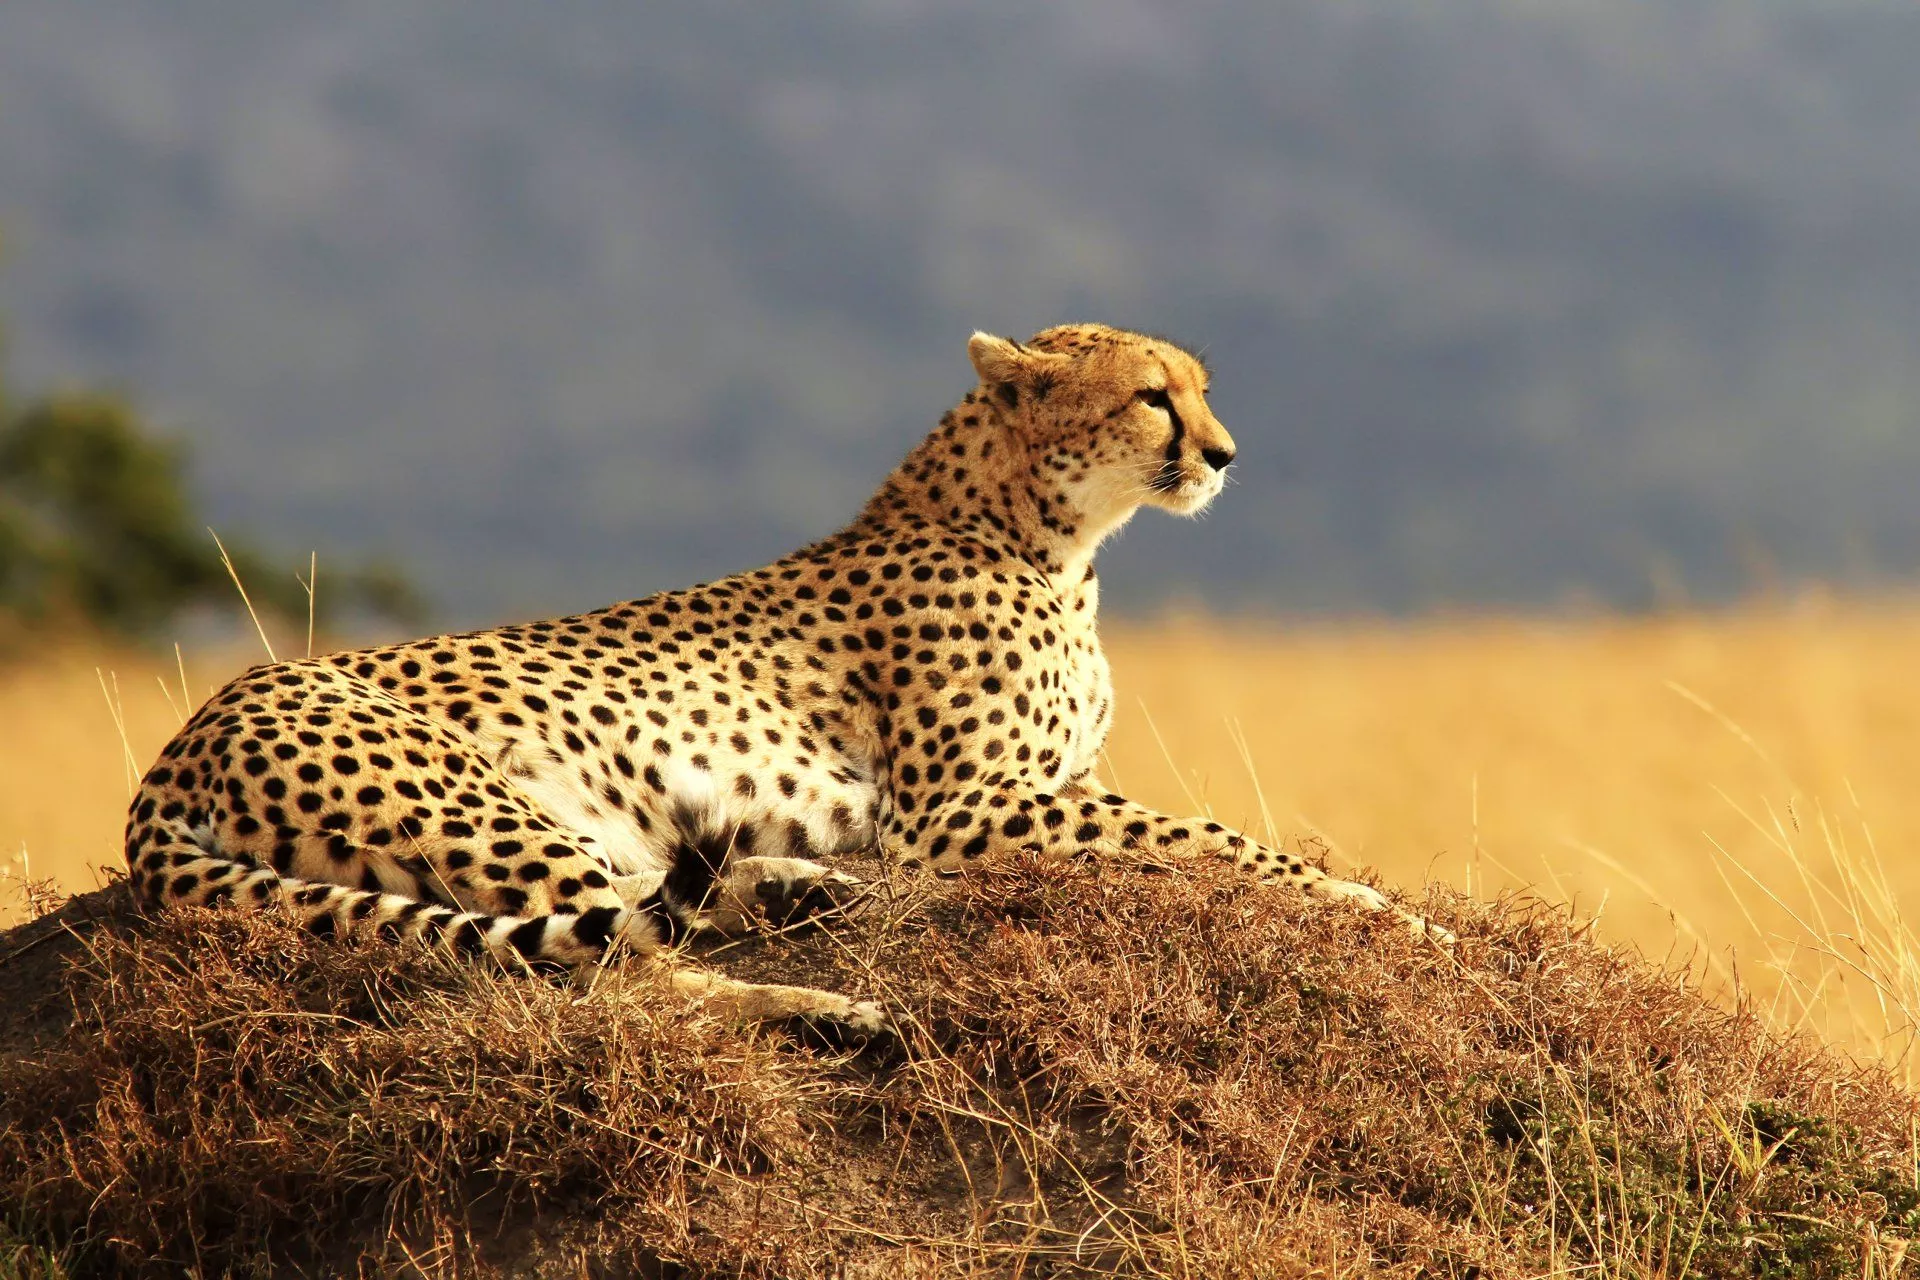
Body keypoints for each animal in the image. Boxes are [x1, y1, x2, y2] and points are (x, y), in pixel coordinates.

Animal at [124, 323, 1447, 1037]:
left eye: (1204, 388)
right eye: (1152, 396)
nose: (1225, 454)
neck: (1049, 535)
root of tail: (180, 741)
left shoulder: (1023, 791)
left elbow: (1197, 832)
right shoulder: (959, 810)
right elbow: (1212, 835)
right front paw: (1391, 911)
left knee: (645, 908)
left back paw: (804, 894)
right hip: (479, 805)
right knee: (615, 974)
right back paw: (827, 1005)